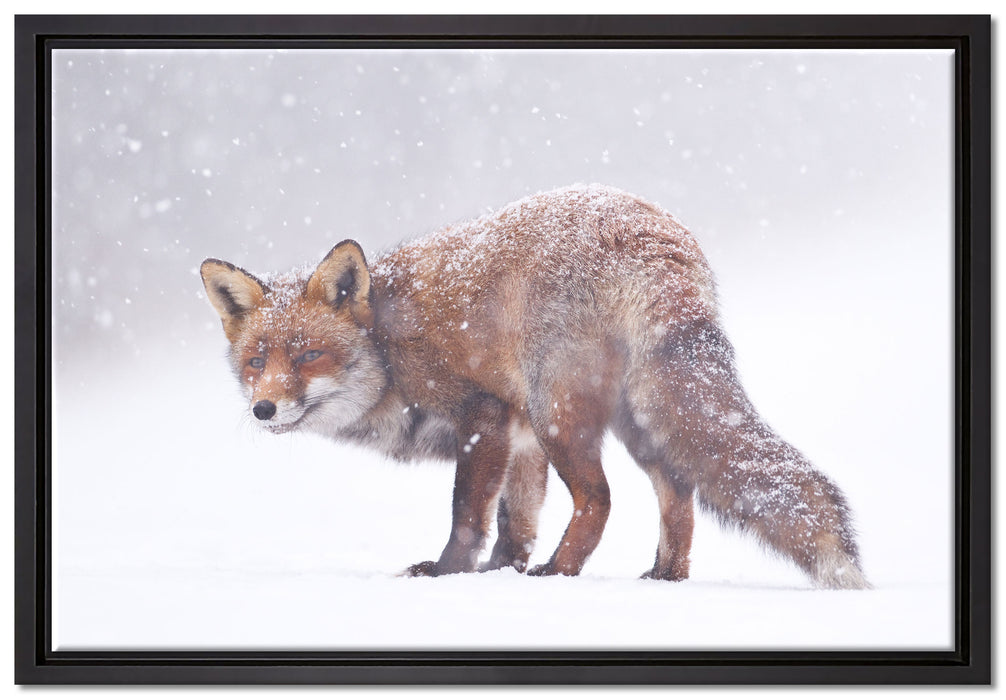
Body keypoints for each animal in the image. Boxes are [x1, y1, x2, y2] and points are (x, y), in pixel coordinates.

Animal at [201, 184, 868, 589]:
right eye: (256, 361)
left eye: (310, 355)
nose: (264, 408)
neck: (388, 347)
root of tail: (650, 232)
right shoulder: (519, 440)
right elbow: (514, 522)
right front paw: (503, 574)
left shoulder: (486, 416)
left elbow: (468, 515)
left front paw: (449, 575)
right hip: (636, 421)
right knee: (678, 496)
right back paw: (663, 579)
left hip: (560, 414)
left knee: (600, 500)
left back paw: (561, 574)